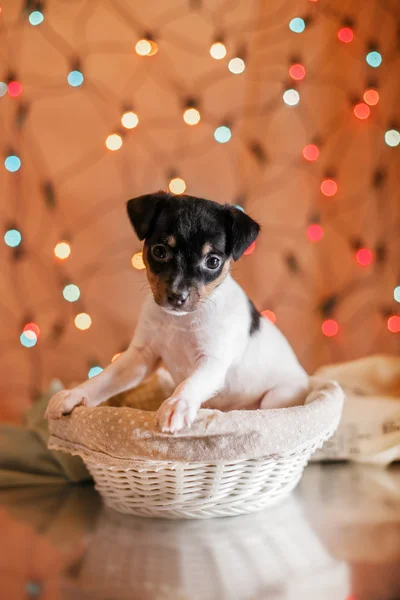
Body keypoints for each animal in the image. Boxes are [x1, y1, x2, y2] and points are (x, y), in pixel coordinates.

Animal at [47, 192, 310, 432]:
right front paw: (74, 394)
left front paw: (177, 404)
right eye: (160, 251)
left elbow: (190, 383)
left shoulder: (213, 361)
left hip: (276, 397)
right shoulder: (140, 358)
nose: (176, 297)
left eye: (213, 261)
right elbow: (104, 378)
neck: (179, 321)